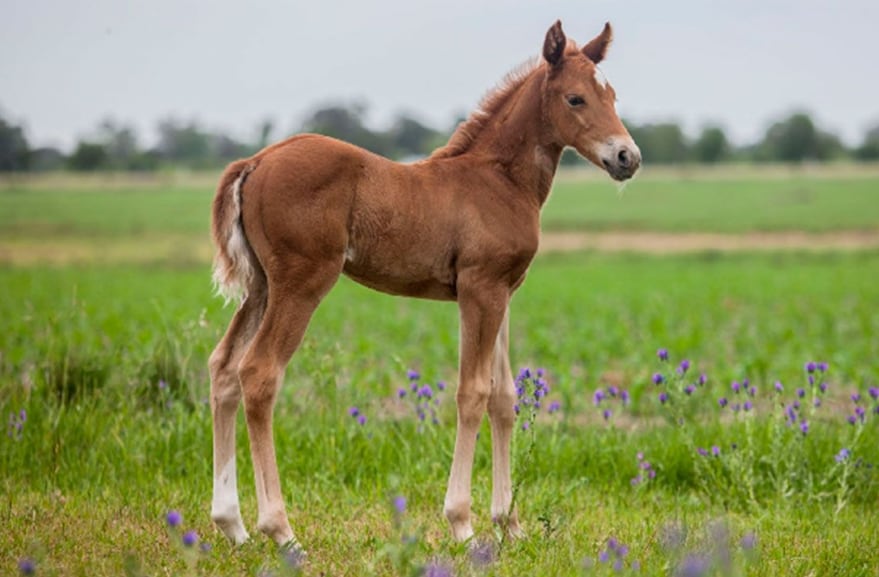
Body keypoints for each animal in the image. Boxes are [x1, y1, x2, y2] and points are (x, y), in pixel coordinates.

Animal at [211, 20, 640, 548]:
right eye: (575, 98)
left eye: (612, 95)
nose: (627, 156)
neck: (499, 180)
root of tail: (255, 161)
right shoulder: (479, 289)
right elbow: (472, 393)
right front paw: (463, 524)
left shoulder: (504, 292)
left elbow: (504, 397)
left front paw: (510, 523)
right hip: (301, 283)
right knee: (259, 372)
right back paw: (281, 530)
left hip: (261, 287)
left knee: (224, 368)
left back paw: (232, 525)